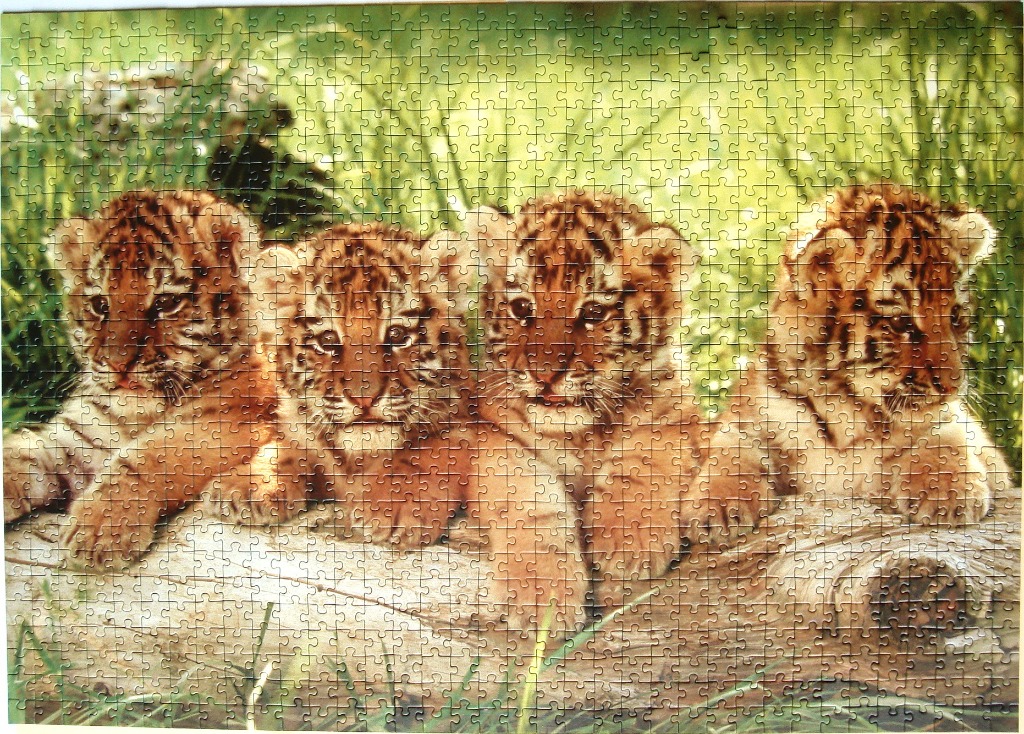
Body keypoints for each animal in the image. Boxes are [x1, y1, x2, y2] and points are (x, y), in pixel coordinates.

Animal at [2, 190, 278, 567]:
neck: (137, 414)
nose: (118, 364)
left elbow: (147, 455)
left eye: (165, 302)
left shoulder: (228, 423)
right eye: (100, 305)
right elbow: (23, 452)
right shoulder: (77, 438)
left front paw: (98, 528)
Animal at [220, 222, 589, 634]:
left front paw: (544, 598)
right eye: (328, 341)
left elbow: (508, 486)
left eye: (397, 335)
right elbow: (288, 444)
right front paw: (249, 485)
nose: (363, 398)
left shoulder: (482, 432)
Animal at [466, 191, 711, 610]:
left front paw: (627, 539)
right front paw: (541, 594)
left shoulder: (677, 416)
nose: (544, 375)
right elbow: (529, 496)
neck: (584, 435)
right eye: (521, 308)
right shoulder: (493, 434)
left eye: (594, 312)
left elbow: (646, 457)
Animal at [694, 183, 1012, 540]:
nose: (953, 387)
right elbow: (729, 450)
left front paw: (950, 493)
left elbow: (947, 435)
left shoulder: (954, 427)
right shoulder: (749, 415)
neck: (847, 408)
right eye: (901, 321)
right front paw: (717, 508)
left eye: (955, 318)